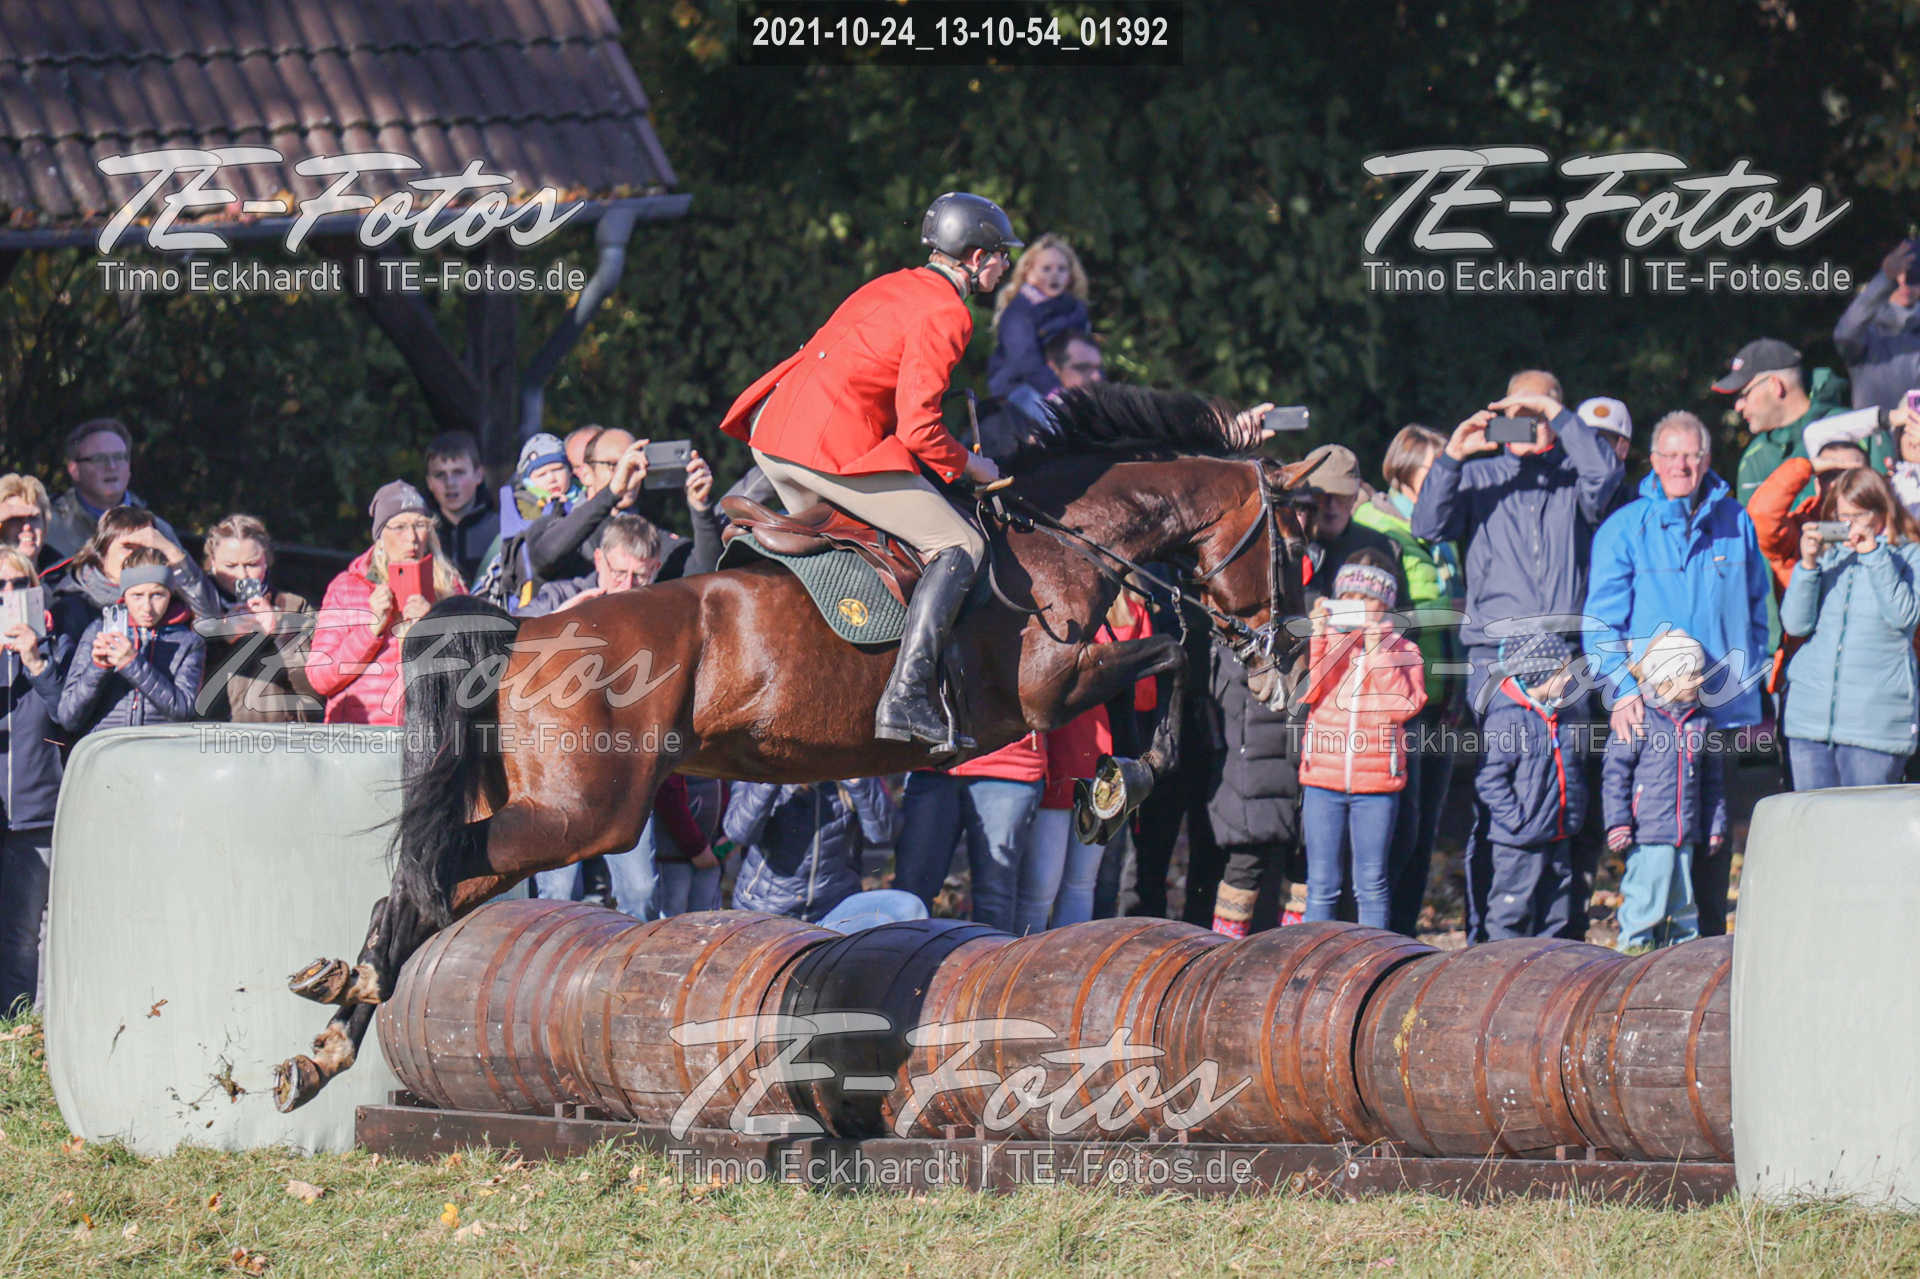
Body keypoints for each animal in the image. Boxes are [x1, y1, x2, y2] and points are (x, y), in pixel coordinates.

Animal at [272, 382, 1317, 1112]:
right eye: (1293, 540)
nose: (1290, 652)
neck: (1063, 538)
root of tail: (526, 626)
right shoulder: (1042, 690)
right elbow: (1172, 654)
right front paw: (1116, 784)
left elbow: (1171, 651)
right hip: (589, 814)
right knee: (432, 868)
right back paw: (347, 994)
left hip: (544, 808)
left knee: (427, 882)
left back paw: (326, 1035)